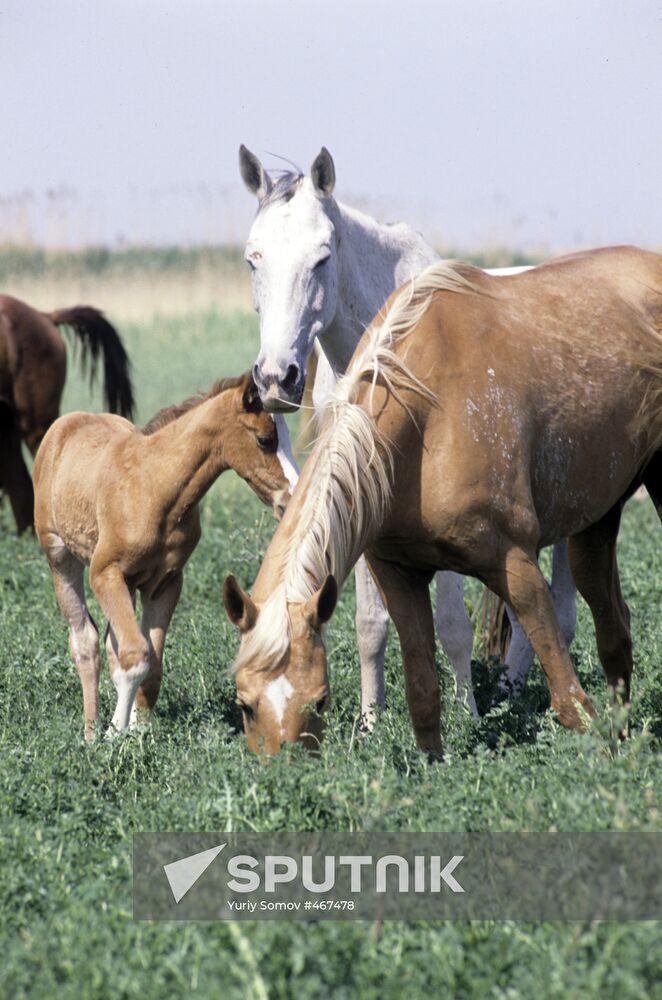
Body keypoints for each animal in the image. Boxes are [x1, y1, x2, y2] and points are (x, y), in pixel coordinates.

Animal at [33, 372, 290, 738]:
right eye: (265, 440)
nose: (289, 500)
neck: (155, 487)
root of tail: (66, 424)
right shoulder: (104, 572)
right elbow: (134, 654)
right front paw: (115, 734)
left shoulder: (165, 583)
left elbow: (151, 665)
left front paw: (140, 732)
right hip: (60, 557)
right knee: (85, 641)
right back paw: (90, 733)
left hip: (128, 585)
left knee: (111, 644)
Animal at [222, 246, 662, 755]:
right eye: (244, 704)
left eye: (321, 700)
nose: (283, 770)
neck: (425, 414)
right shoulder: (400, 577)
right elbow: (423, 695)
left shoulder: (516, 564)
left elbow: (568, 695)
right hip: (595, 523)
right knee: (614, 628)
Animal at [238, 144, 576, 721]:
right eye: (252, 258)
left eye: (322, 257)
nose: (277, 377)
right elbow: (370, 623)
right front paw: (370, 721)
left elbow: (454, 624)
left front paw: (467, 714)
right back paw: (510, 689)